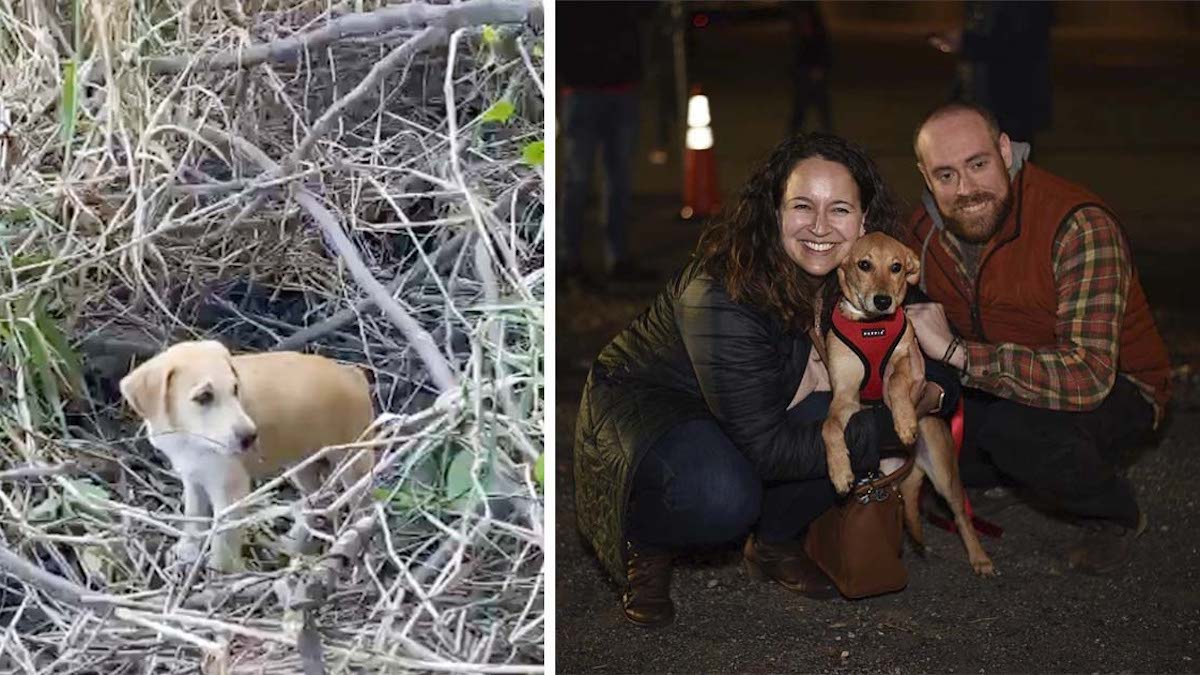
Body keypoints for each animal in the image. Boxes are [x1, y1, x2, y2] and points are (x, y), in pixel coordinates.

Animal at [120, 341, 374, 566]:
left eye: (235, 389)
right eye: (204, 396)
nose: (251, 437)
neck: (190, 438)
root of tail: (353, 374)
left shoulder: (230, 492)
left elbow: (223, 541)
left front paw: (219, 576)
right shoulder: (193, 477)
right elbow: (193, 517)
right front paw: (187, 552)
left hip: (353, 463)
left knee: (363, 506)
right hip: (302, 465)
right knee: (316, 500)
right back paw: (292, 543)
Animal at [816, 233, 993, 571]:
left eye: (896, 267)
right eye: (864, 264)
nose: (883, 301)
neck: (871, 327)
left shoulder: (906, 361)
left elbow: (897, 382)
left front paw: (906, 422)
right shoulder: (845, 395)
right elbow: (829, 426)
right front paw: (839, 471)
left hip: (945, 474)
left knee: (961, 517)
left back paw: (979, 557)